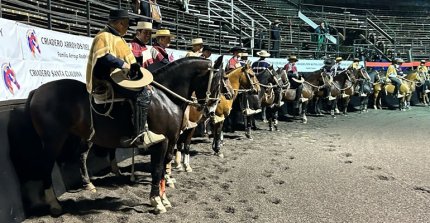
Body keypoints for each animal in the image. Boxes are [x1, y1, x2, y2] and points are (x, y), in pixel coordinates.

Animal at [24, 56, 225, 215]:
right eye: (218, 83)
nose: (211, 111)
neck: (166, 98)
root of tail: (37, 91)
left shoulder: (170, 142)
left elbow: (162, 170)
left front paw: (163, 198)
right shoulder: (161, 143)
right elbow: (157, 170)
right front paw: (156, 202)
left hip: (82, 136)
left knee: (80, 156)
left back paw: (88, 185)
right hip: (53, 141)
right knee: (46, 167)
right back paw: (54, 204)